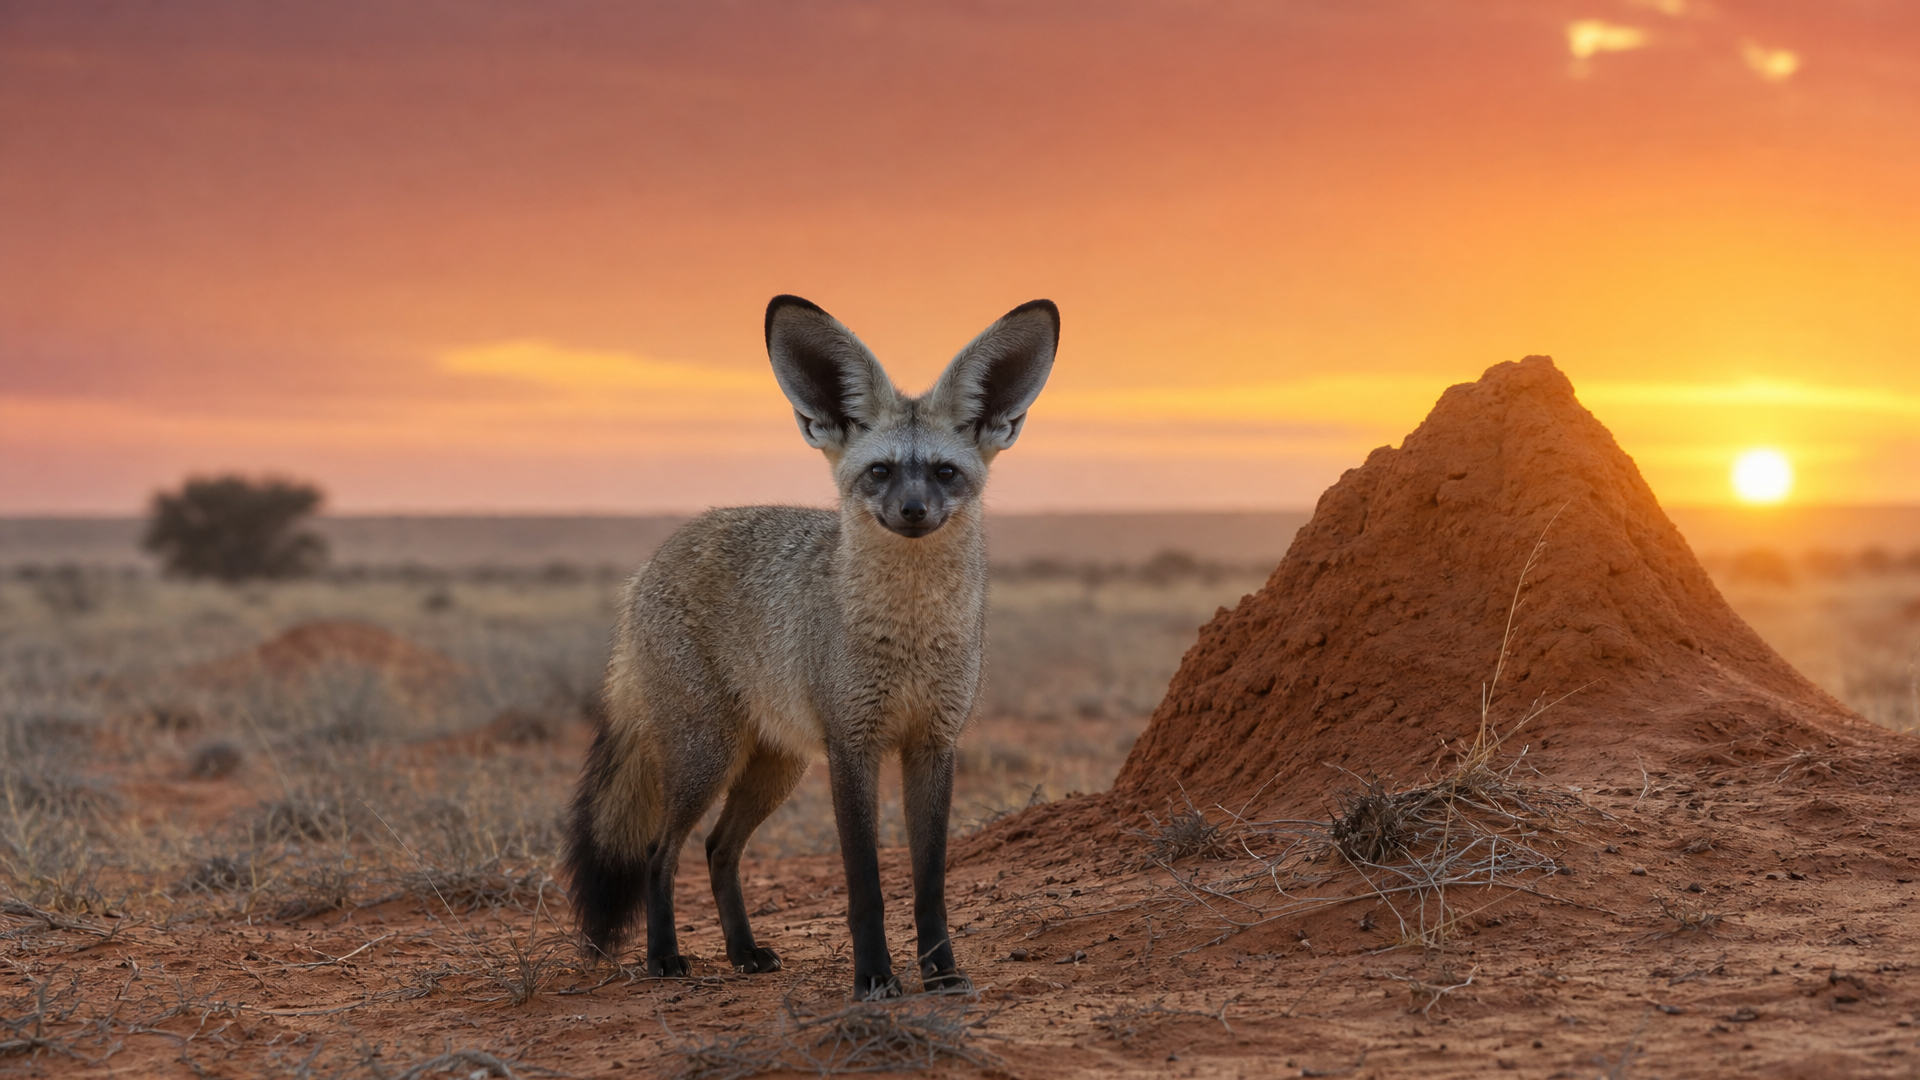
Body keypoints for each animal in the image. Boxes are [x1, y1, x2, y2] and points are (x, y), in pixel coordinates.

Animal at [564, 294, 1059, 999]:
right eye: (880, 472)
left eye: (945, 473)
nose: (913, 511)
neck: (909, 637)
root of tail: (652, 563)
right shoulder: (853, 745)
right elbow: (866, 885)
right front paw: (874, 978)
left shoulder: (933, 743)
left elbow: (930, 883)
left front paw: (941, 972)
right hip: (707, 757)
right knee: (661, 853)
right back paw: (664, 958)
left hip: (776, 768)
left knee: (718, 849)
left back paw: (744, 953)